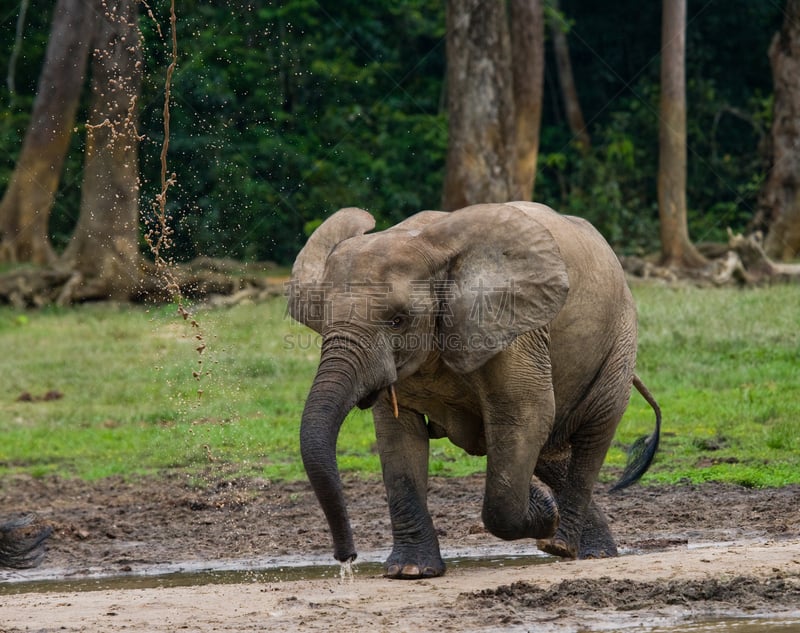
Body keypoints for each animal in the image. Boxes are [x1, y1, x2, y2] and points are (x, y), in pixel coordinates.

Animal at [288, 201, 664, 576]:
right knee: (549, 451)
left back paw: (563, 544)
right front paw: (410, 571)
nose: (347, 558)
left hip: (619, 338)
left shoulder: (512, 329)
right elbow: (398, 438)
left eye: (398, 320)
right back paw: (591, 549)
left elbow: (524, 416)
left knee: (591, 434)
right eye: (322, 319)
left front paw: (542, 507)